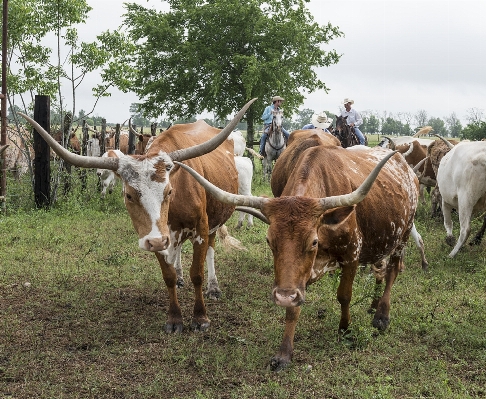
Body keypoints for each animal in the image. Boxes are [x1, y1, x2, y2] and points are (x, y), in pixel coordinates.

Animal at [18, 100, 254, 334]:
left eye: (169, 191)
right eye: (129, 195)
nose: (158, 240)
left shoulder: (200, 229)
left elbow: (197, 273)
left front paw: (200, 318)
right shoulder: (154, 235)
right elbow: (168, 276)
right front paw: (174, 318)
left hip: (214, 220)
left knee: (211, 250)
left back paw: (213, 287)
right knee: (177, 249)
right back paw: (180, 275)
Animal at [175, 131, 422, 372]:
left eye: (313, 242)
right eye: (269, 240)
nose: (283, 296)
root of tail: (405, 167)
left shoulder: (352, 256)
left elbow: (344, 295)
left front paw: (345, 330)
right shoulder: (295, 279)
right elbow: (293, 307)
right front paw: (284, 353)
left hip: (403, 235)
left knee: (391, 271)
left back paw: (382, 315)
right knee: (380, 268)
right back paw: (373, 305)